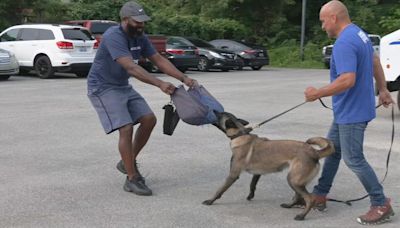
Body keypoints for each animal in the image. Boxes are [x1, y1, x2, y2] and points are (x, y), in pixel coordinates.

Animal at [203, 111, 334, 220]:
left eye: (220, 114)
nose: (214, 110)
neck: (240, 134)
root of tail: (314, 152)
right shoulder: (257, 173)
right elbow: (252, 185)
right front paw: (250, 196)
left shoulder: (233, 175)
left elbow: (220, 190)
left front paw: (210, 201)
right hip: (296, 181)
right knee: (298, 196)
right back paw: (289, 205)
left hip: (293, 180)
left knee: (310, 199)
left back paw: (301, 216)